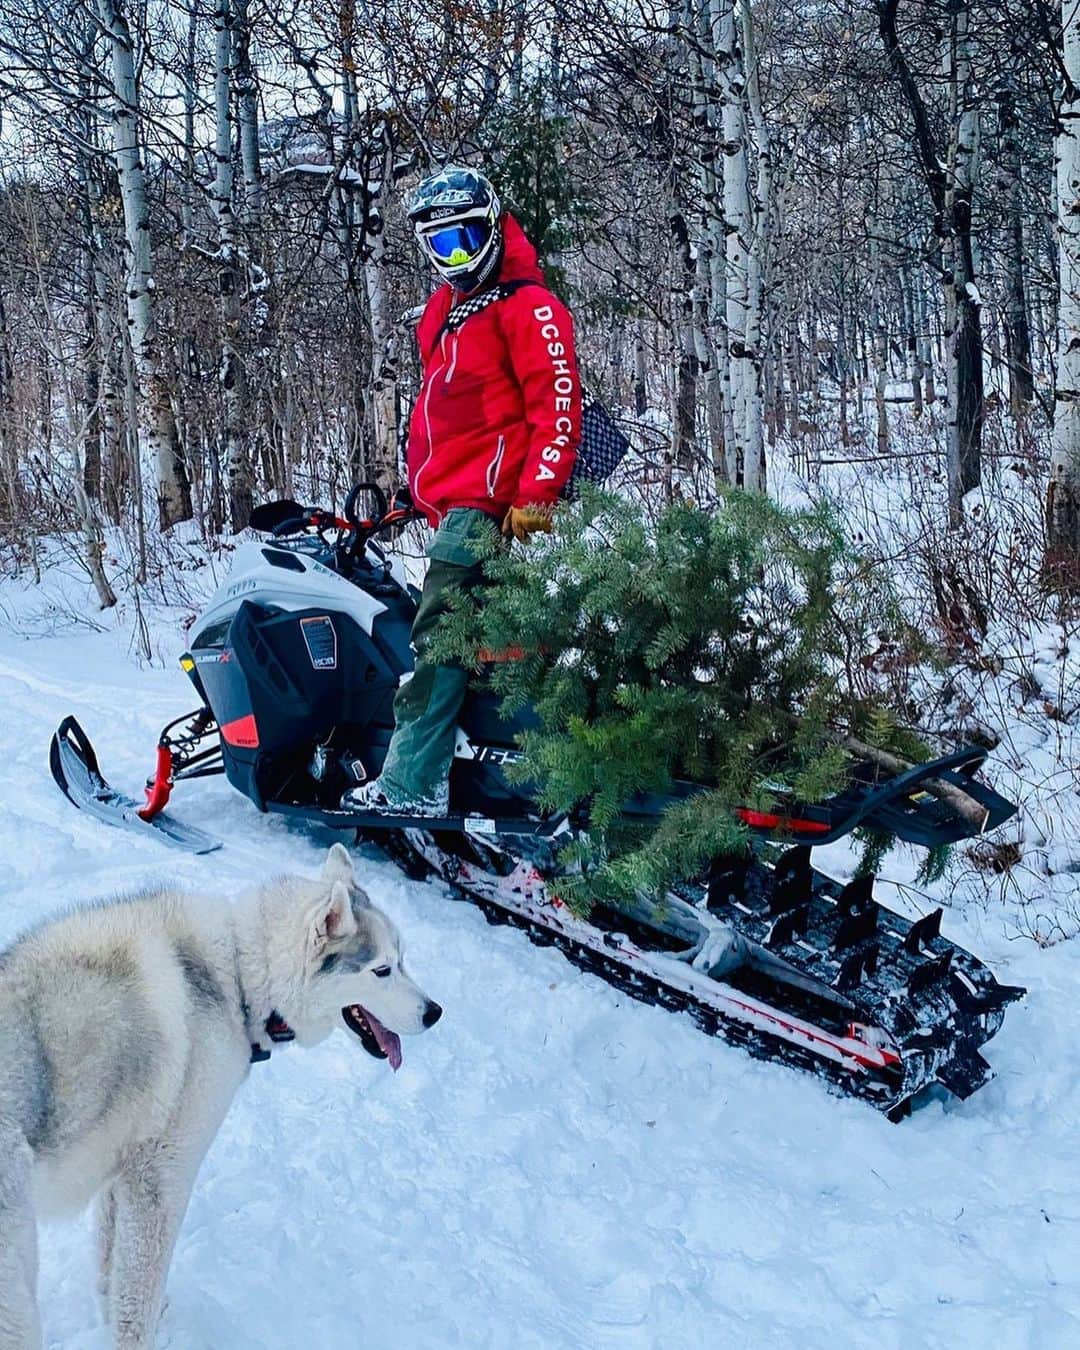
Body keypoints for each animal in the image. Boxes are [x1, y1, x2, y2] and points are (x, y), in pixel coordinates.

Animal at [0, 847, 442, 1344]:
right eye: (382, 970)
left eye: (403, 960)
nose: (435, 1012)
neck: (239, 977)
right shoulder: (162, 1178)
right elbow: (139, 1299)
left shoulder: (125, 1175)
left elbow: (111, 1277)